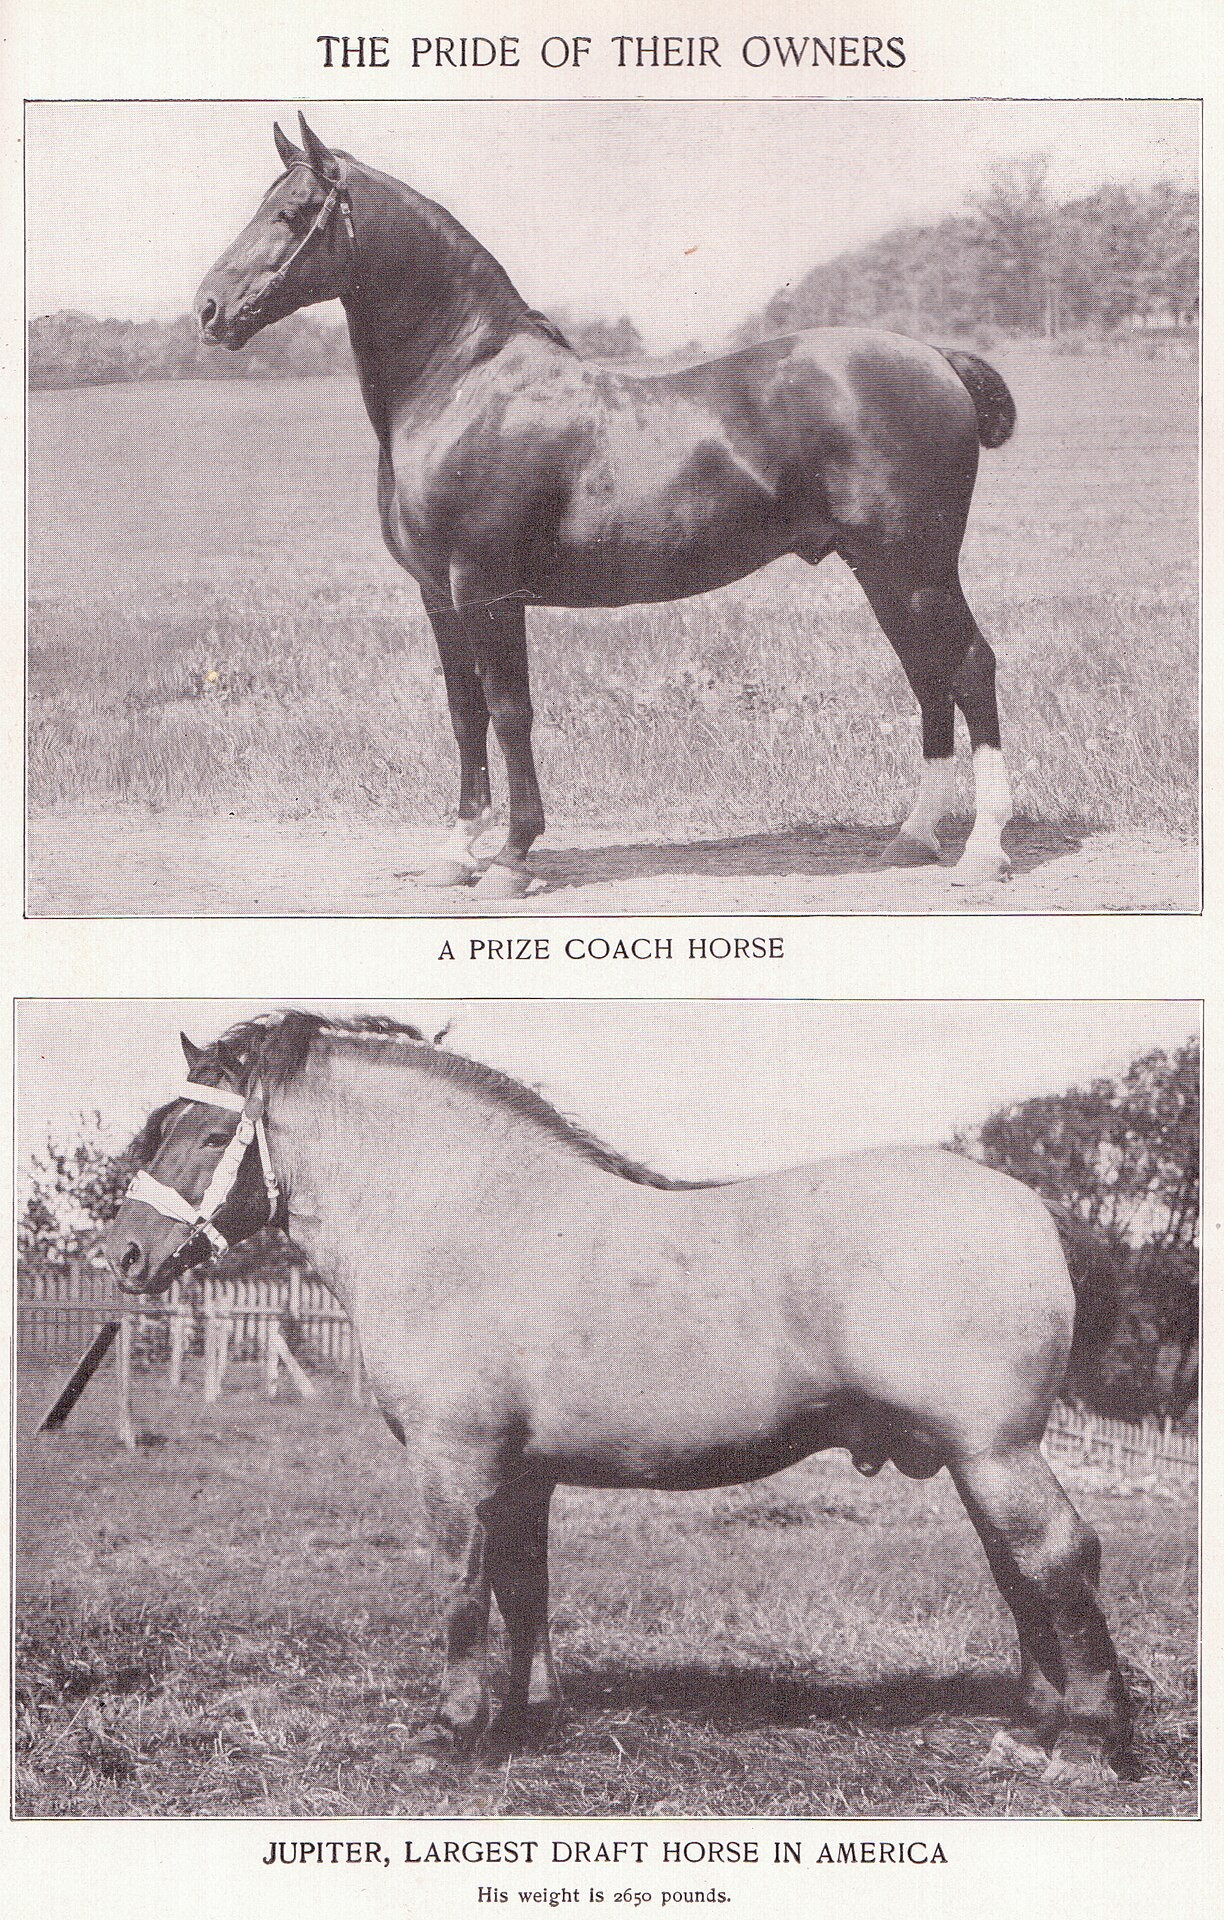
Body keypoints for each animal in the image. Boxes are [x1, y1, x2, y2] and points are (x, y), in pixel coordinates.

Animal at [105, 1013, 1135, 1774]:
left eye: (208, 1133)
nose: (126, 1255)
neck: (463, 1217)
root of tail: (1028, 1208)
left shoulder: (455, 1463)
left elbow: (461, 1589)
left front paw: (453, 1733)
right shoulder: (521, 1475)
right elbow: (522, 1586)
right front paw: (523, 1719)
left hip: (995, 1452)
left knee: (1058, 1558)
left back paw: (1084, 1745)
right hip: (974, 1458)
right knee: (1015, 1569)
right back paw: (1029, 1732)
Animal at [196, 116, 1020, 894]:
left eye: (294, 211)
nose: (208, 309)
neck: (463, 386)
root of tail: (937, 357)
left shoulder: (487, 589)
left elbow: (510, 712)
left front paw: (512, 857)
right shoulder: (438, 594)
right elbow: (464, 715)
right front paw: (455, 855)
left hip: (916, 568)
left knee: (970, 667)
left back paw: (982, 852)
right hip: (883, 573)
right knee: (927, 676)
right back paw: (913, 839)